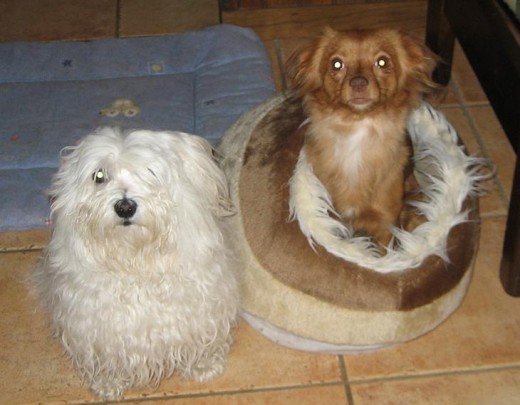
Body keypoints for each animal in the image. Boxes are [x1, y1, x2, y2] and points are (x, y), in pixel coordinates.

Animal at [30, 128, 238, 400]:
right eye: (99, 176)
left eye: (150, 172)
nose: (125, 206)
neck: (135, 261)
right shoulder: (98, 326)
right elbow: (107, 359)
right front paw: (108, 384)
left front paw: (204, 367)